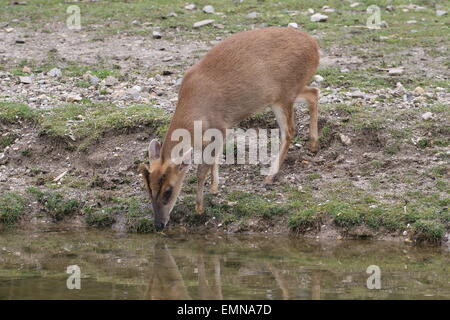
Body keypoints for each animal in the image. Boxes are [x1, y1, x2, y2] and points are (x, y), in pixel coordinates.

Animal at [141, 25, 320, 230]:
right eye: (149, 188)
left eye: (168, 190)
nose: (159, 224)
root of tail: (315, 46)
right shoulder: (220, 132)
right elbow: (216, 159)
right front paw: (214, 188)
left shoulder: (220, 127)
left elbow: (201, 170)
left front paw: (200, 208)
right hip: (289, 92)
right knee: (314, 93)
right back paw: (313, 145)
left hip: (284, 94)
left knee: (290, 130)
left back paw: (270, 175)